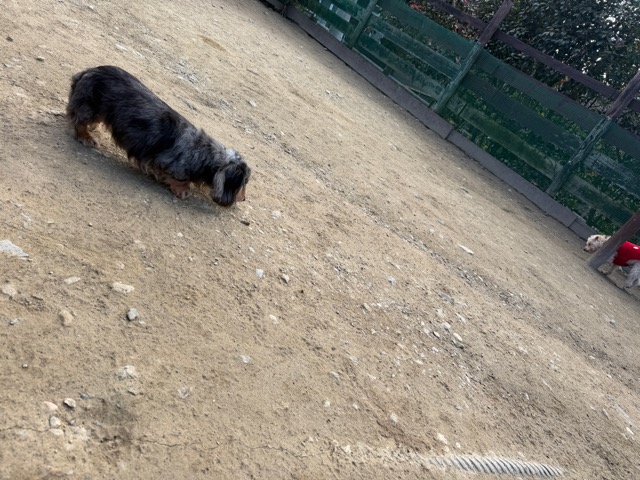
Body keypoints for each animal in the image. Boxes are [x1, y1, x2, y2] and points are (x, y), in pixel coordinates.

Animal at [66, 66, 250, 207]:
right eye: (244, 183)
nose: (243, 199)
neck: (204, 153)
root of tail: (91, 71)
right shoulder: (170, 163)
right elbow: (180, 179)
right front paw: (183, 190)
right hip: (92, 106)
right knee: (79, 121)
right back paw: (86, 137)